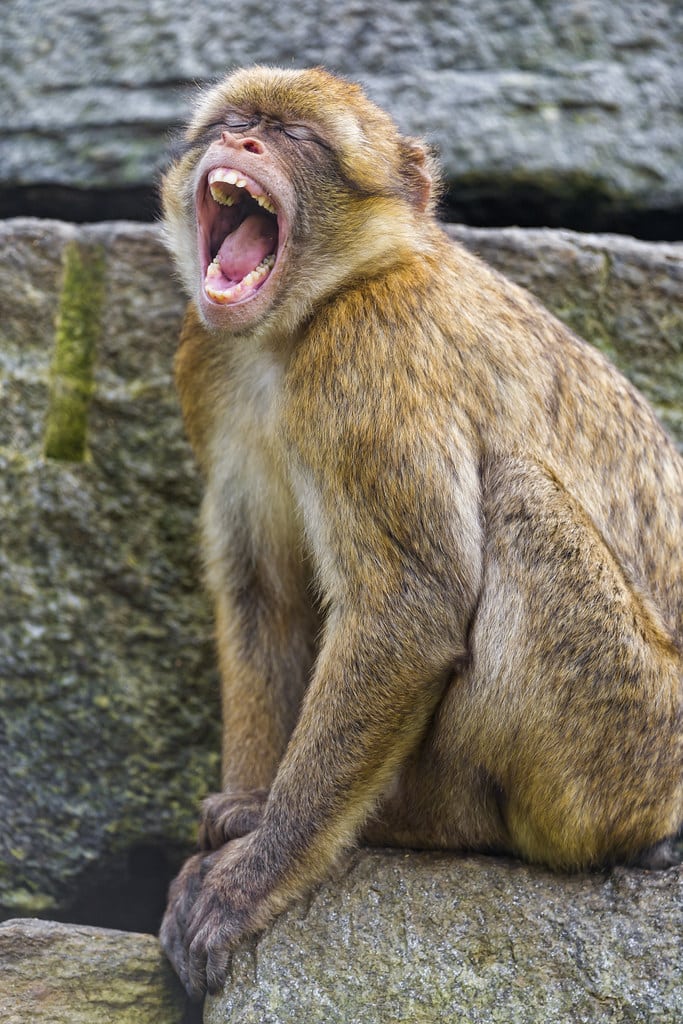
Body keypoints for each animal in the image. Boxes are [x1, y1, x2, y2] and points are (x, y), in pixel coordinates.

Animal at [158, 65, 683, 998]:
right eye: (236, 121)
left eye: (296, 138)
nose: (245, 143)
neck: (299, 323)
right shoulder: (208, 360)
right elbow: (265, 594)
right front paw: (245, 809)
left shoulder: (367, 359)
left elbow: (410, 606)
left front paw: (254, 875)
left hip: (629, 750)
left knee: (515, 497)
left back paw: (419, 821)